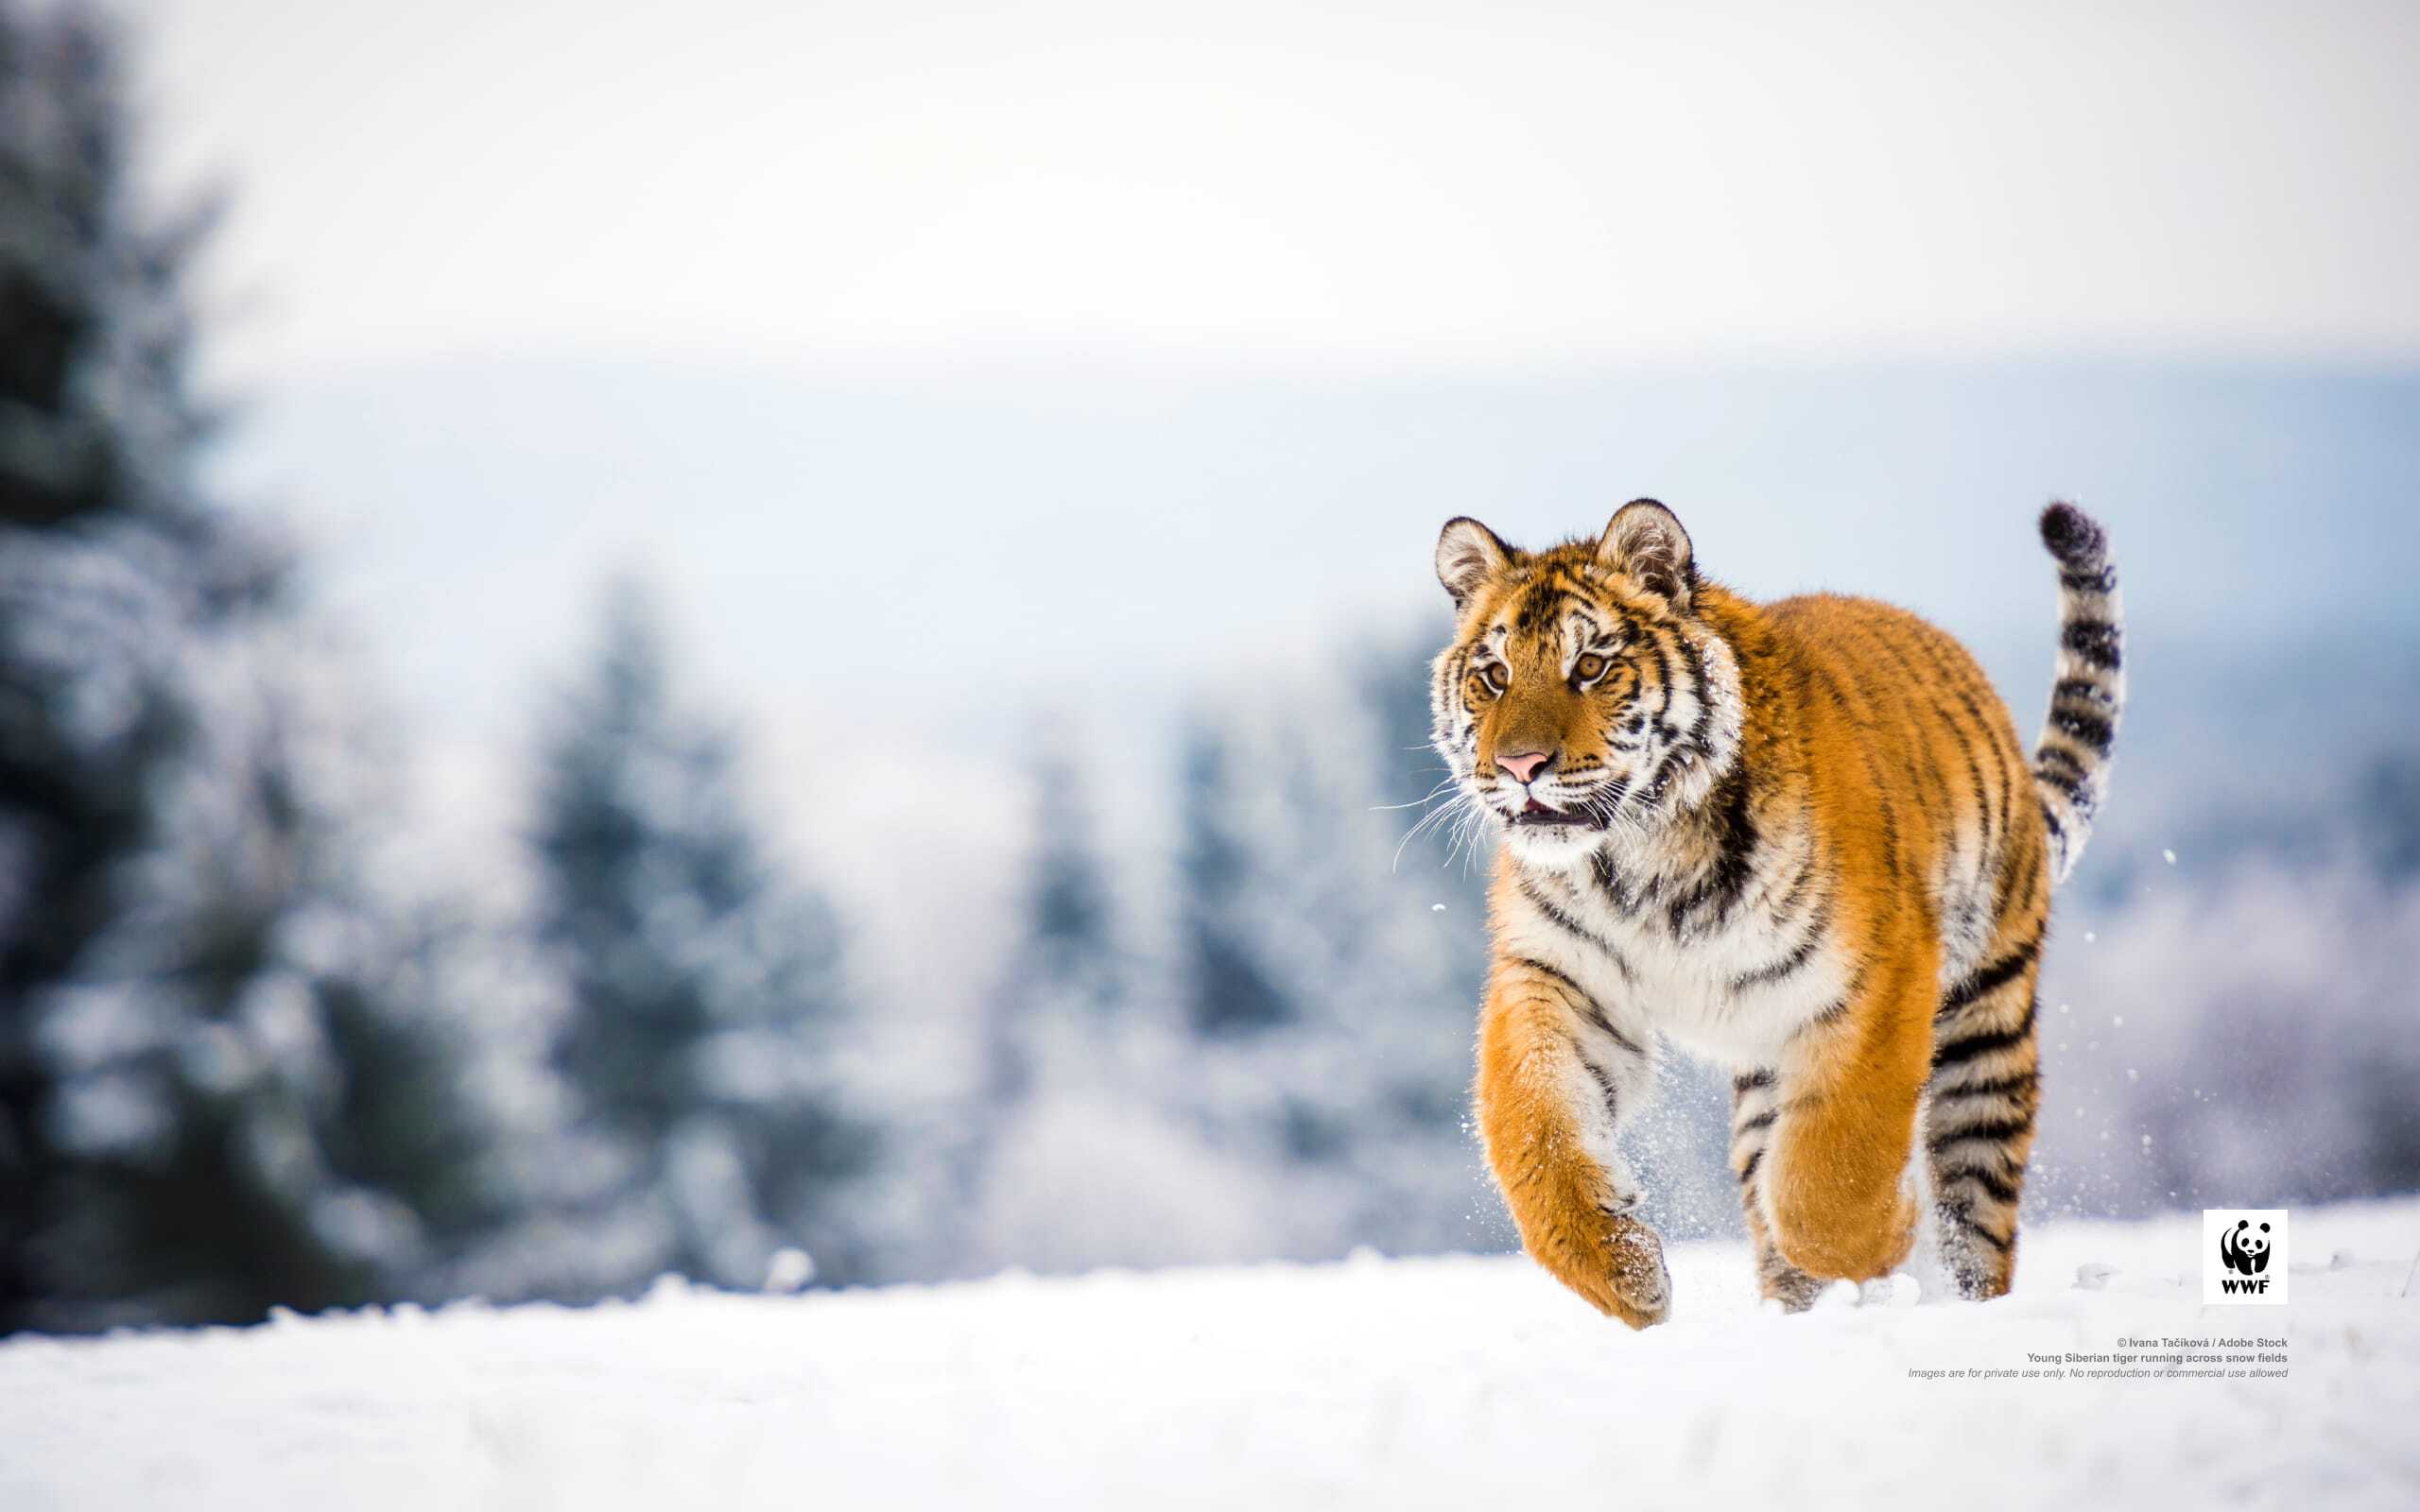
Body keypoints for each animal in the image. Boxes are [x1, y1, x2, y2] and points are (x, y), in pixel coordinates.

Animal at [1427, 498, 2123, 1325]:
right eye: (1494, 676)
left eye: (1591, 666)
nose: (1519, 767)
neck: (1643, 854)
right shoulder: (1561, 978)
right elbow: (1535, 1132)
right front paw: (1625, 1272)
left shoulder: (1879, 978)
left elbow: (1829, 1173)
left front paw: (1888, 1237)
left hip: (1984, 1022)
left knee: (1974, 1213)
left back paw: (1961, 1302)